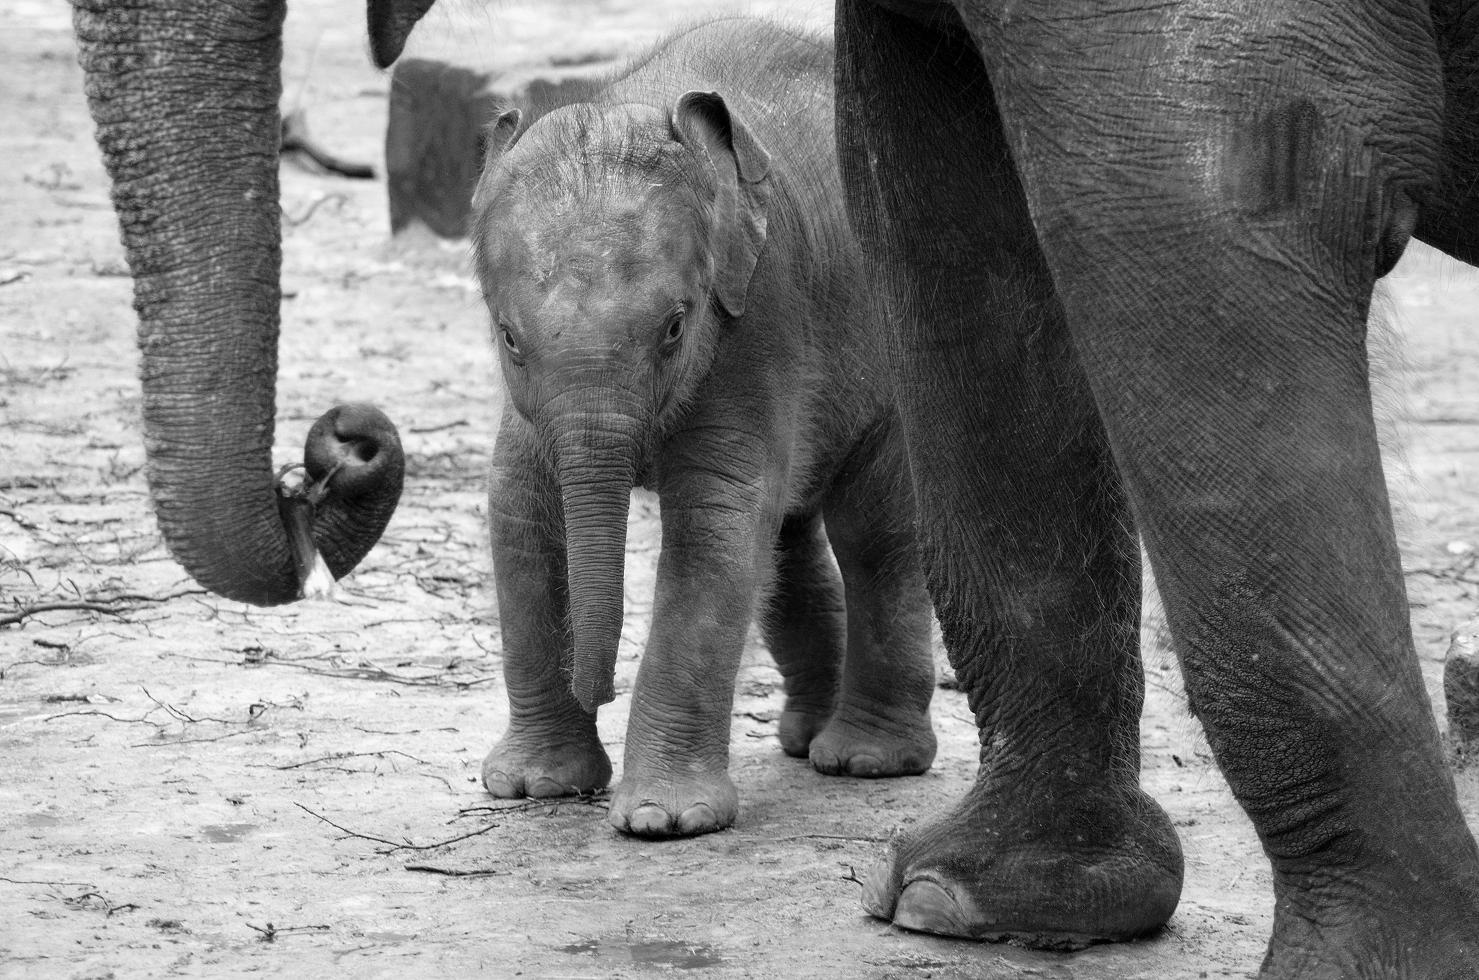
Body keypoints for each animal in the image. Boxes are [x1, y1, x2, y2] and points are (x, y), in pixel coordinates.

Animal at [473, 17, 934, 833]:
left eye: (674, 328)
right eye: (508, 338)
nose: (599, 686)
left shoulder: (760, 310)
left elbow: (717, 522)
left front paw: (663, 821)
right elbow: (520, 510)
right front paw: (534, 786)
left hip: (894, 360)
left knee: (874, 533)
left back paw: (864, 759)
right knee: (789, 543)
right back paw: (804, 738)